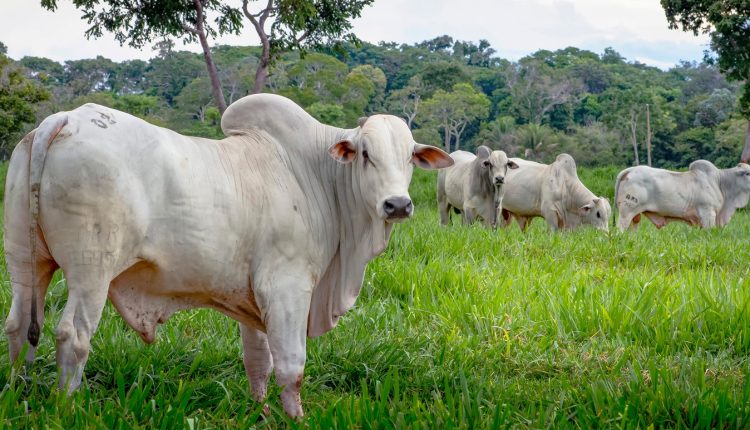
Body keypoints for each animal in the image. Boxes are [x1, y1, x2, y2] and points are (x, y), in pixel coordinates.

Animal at [2, 93, 452, 416]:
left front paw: (261, 410)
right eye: (366, 154)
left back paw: (16, 394)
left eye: (410, 157)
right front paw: (296, 418)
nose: (397, 204)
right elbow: (291, 365)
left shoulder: (253, 299)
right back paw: (66, 407)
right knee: (72, 335)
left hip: (26, 262)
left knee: (19, 326)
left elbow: (258, 360)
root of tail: (64, 119)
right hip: (91, 271)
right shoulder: (286, 287)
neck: (315, 175)